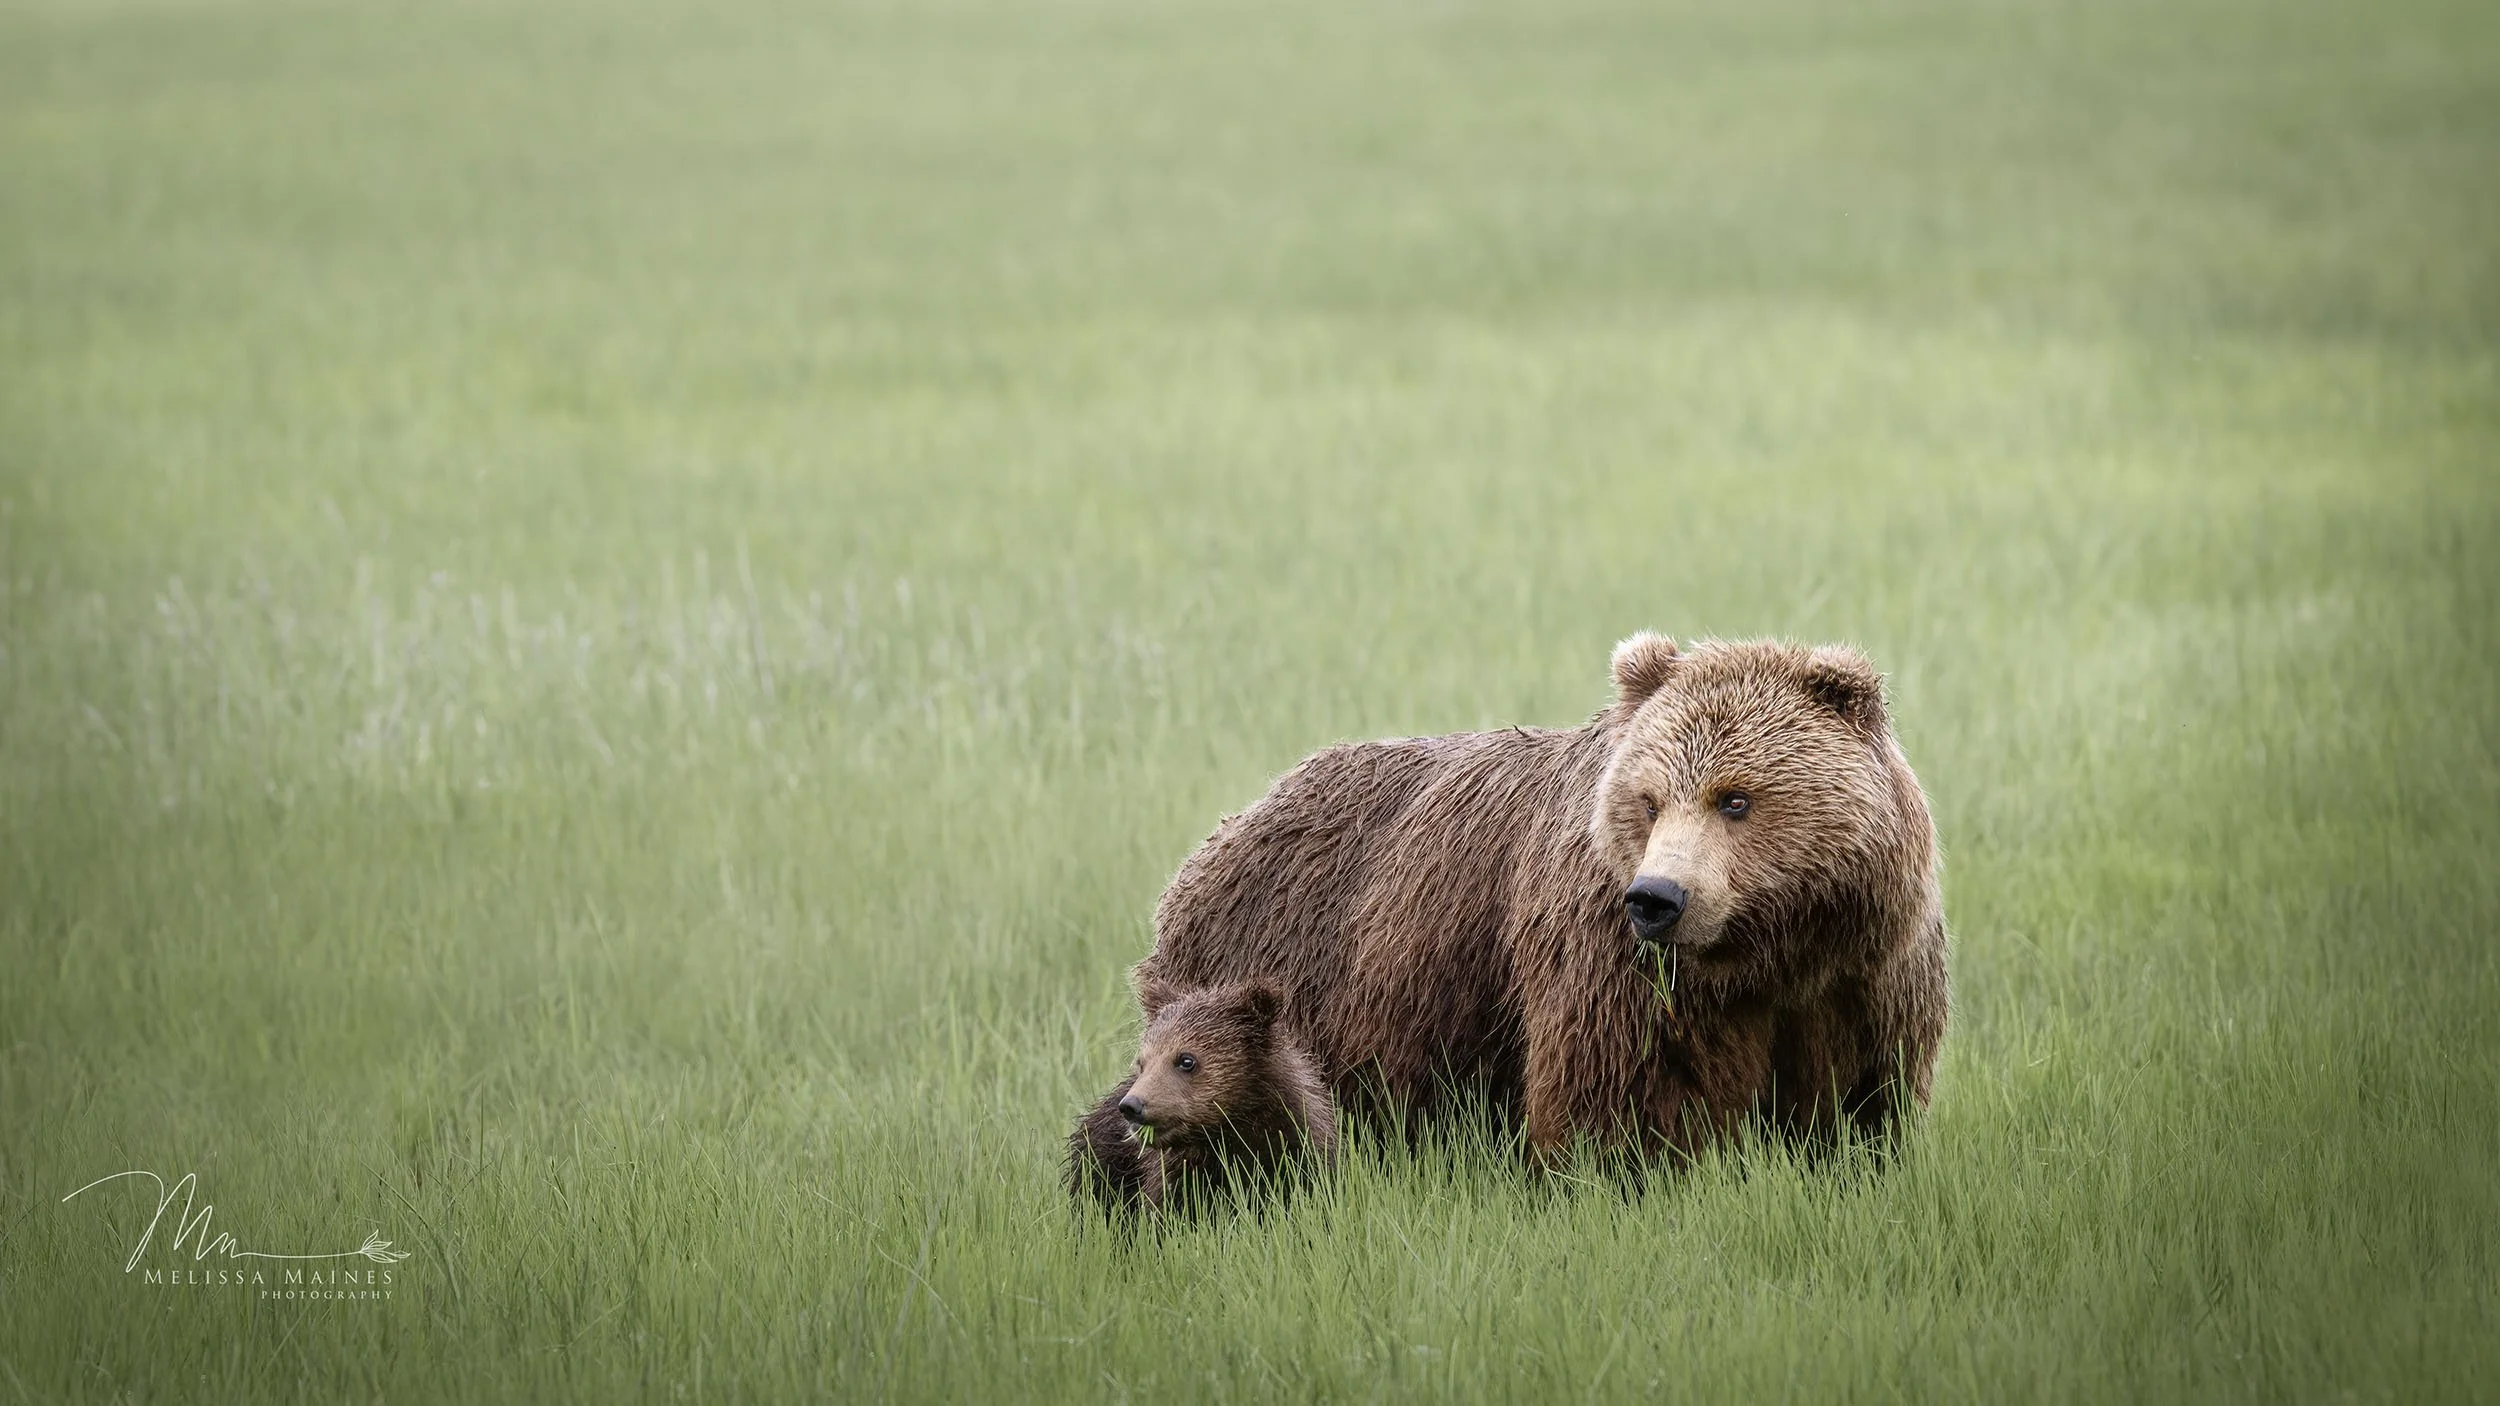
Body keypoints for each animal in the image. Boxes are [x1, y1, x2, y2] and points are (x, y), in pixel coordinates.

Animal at [1128, 634, 1948, 1159]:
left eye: (1736, 798)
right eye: (1649, 800)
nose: (1659, 898)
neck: (1767, 951)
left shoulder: (1864, 975)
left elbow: (1856, 1103)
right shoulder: (1614, 966)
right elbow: (1617, 1101)